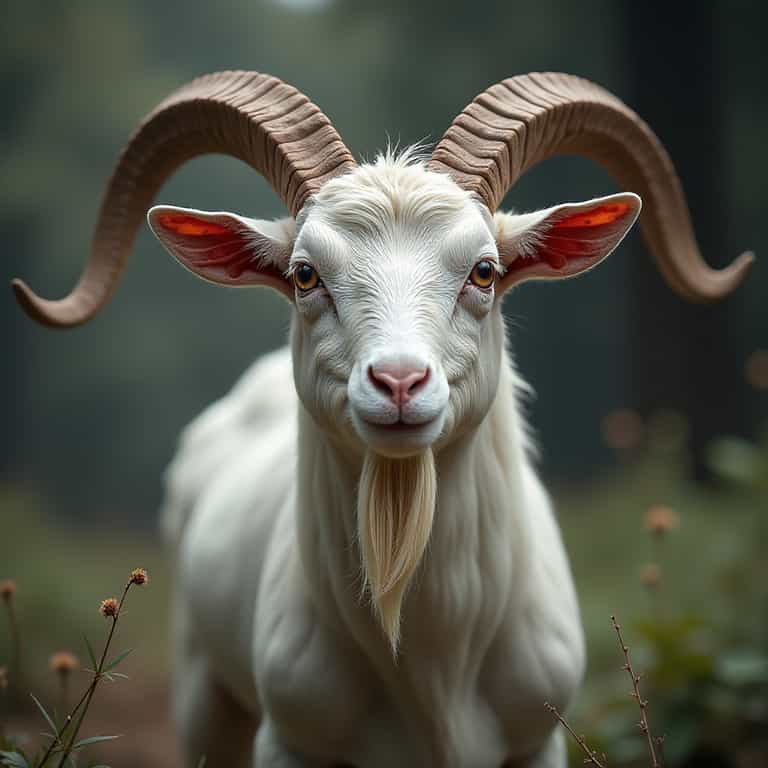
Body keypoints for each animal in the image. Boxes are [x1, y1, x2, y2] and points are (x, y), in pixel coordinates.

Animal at [13, 71, 752, 768]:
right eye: (305, 275)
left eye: (484, 271)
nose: (399, 382)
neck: (429, 662)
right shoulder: (292, 740)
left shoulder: (537, 741)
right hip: (203, 692)